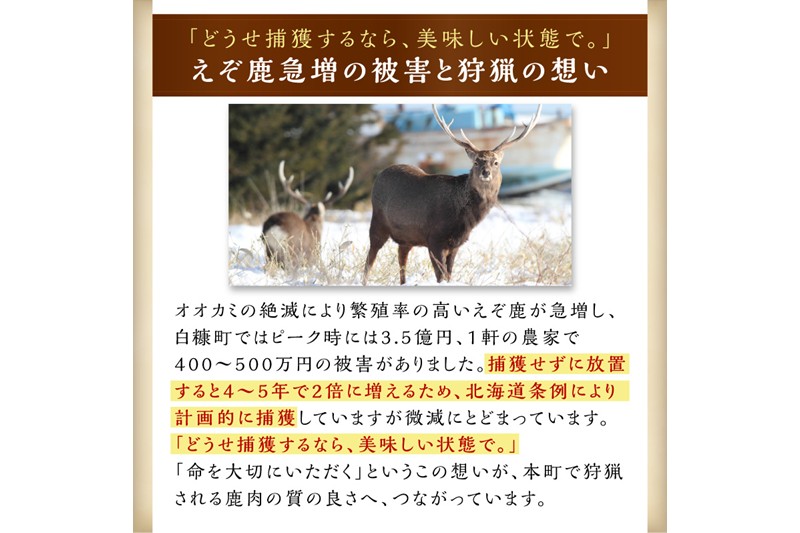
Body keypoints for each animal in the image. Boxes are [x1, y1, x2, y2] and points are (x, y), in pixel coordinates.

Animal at [363, 103, 542, 285]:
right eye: (476, 162)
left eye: (496, 162)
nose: (485, 172)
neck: (463, 218)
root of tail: (379, 175)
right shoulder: (434, 239)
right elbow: (441, 276)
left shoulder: (455, 244)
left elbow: (449, 275)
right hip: (377, 221)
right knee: (370, 259)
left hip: (406, 236)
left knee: (401, 258)